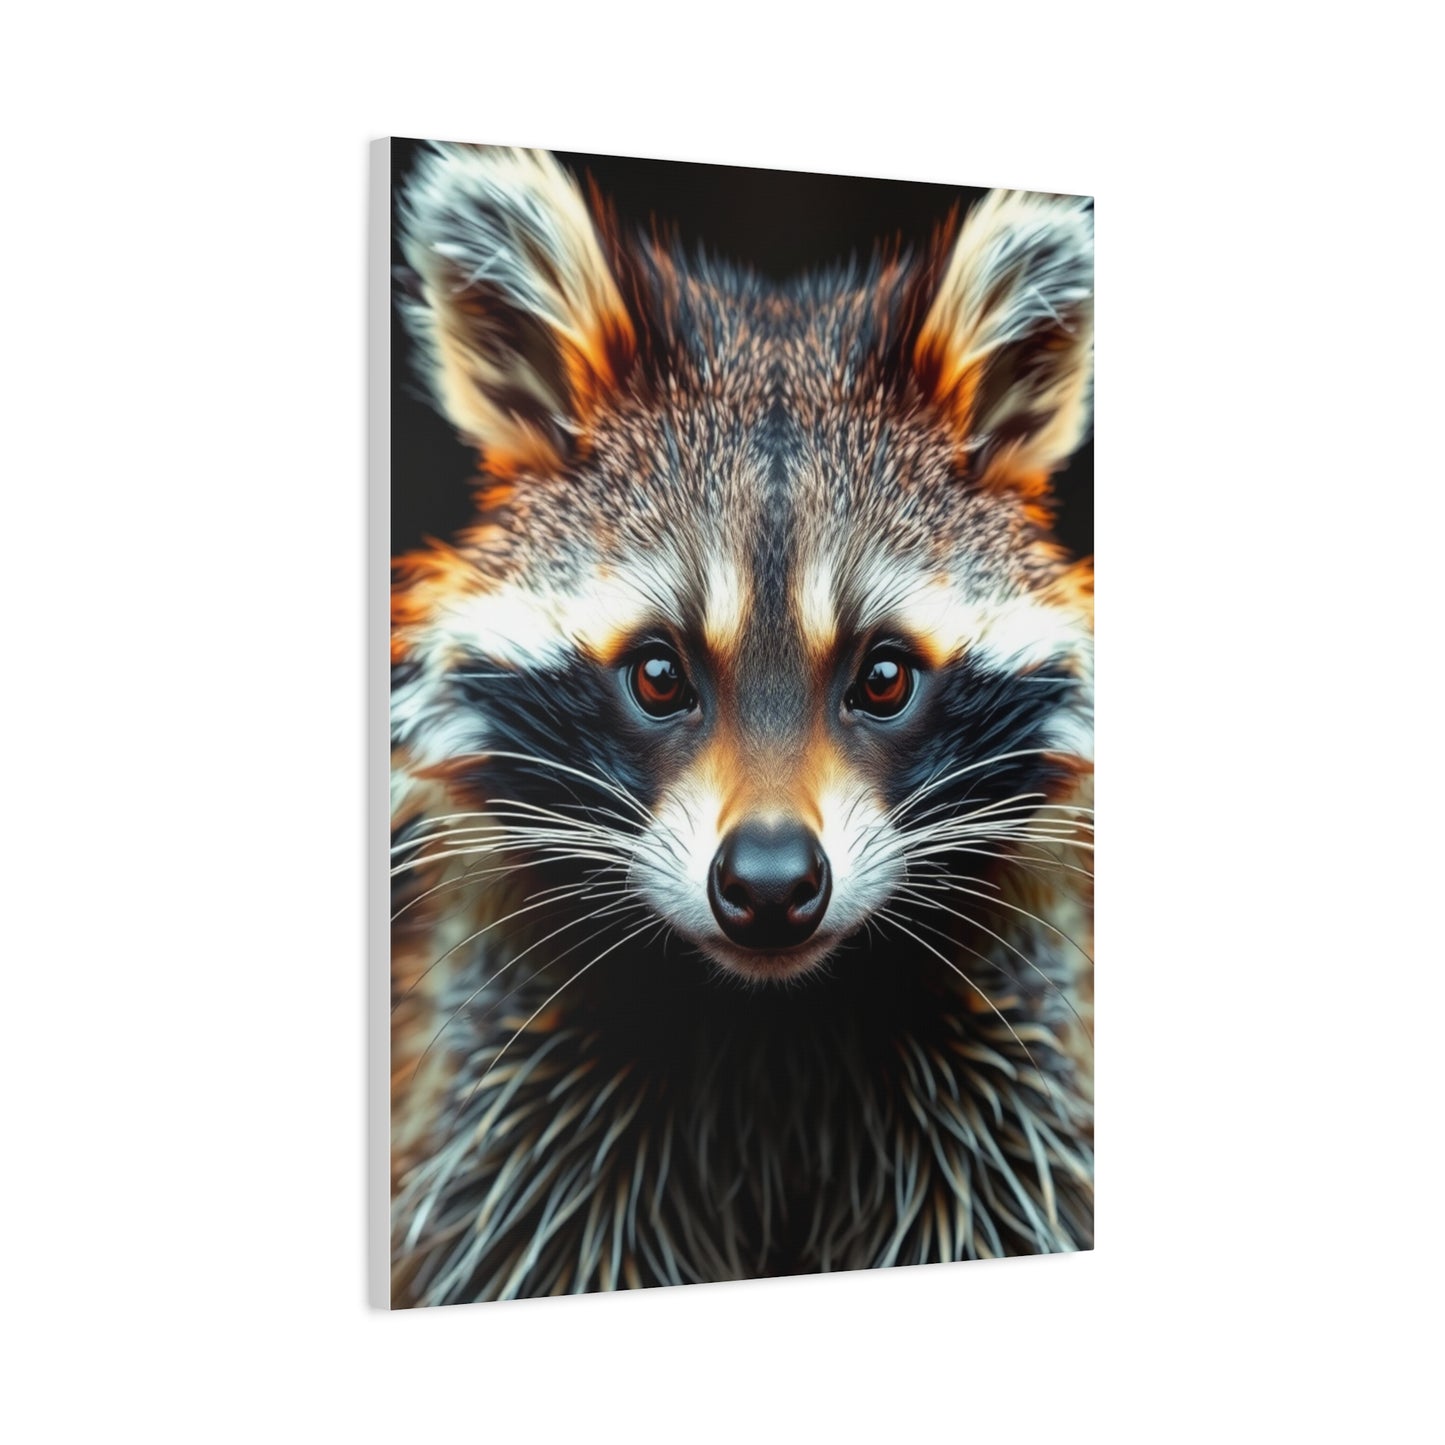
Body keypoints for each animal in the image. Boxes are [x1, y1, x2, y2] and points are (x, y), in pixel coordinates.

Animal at [390, 143, 1094, 1306]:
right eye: (658, 674)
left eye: (884, 677)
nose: (768, 884)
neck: (769, 1031)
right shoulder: (516, 1098)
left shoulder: (1006, 1083)